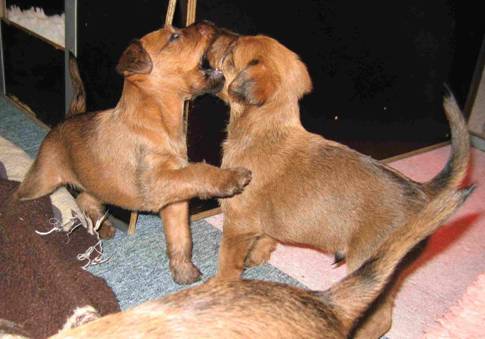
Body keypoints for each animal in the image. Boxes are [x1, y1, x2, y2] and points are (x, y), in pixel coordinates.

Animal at [13, 22, 251, 286]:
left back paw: (102, 226)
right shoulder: (158, 182)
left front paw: (184, 272)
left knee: (84, 198)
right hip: (43, 181)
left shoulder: (175, 201)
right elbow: (199, 170)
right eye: (174, 36)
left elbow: (181, 238)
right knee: (23, 192)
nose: (209, 23)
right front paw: (231, 177)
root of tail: (64, 121)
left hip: (98, 184)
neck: (158, 122)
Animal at [205, 30, 468, 338]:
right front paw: (257, 255)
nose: (212, 31)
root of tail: (422, 192)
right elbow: (267, 237)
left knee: (379, 319)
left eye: (231, 50)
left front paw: (219, 288)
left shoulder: (237, 225)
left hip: (371, 262)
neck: (265, 129)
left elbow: (227, 263)